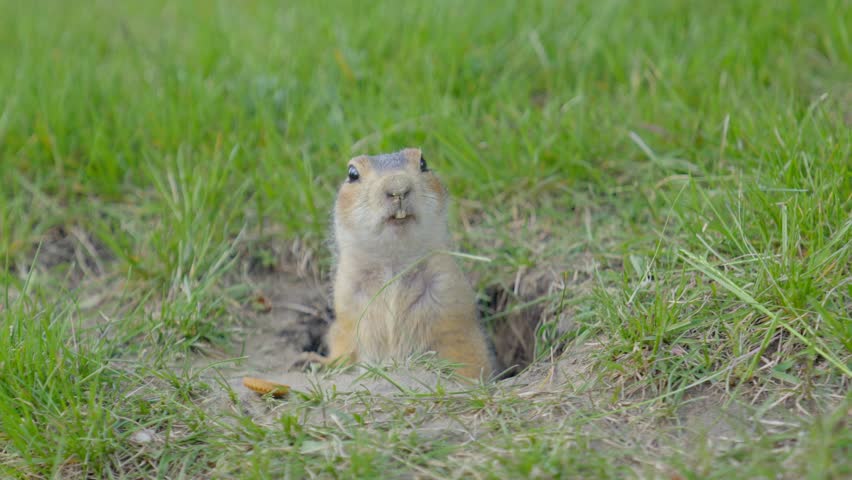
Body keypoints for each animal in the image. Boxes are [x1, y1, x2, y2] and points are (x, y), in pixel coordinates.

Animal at [312, 148, 494, 380]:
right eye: (352, 174)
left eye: (423, 162)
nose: (398, 187)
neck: (394, 263)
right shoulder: (346, 303)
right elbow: (343, 348)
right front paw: (316, 361)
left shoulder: (450, 296)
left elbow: (466, 352)